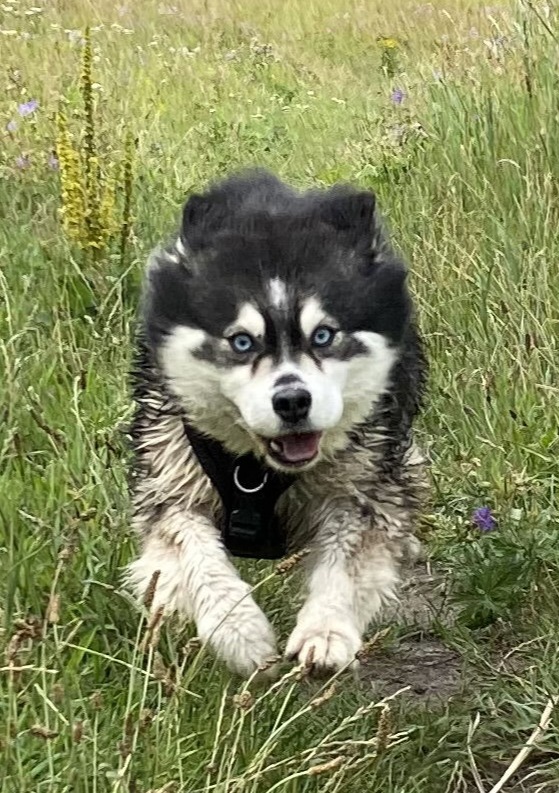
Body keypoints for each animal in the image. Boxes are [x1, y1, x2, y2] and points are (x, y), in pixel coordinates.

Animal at [126, 169, 428, 677]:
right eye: (242, 342)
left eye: (323, 335)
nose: (292, 401)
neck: (257, 468)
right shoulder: (170, 471)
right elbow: (190, 547)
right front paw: (239, 631)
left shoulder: (364, 483)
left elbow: (348, 552)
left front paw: (325, 631)